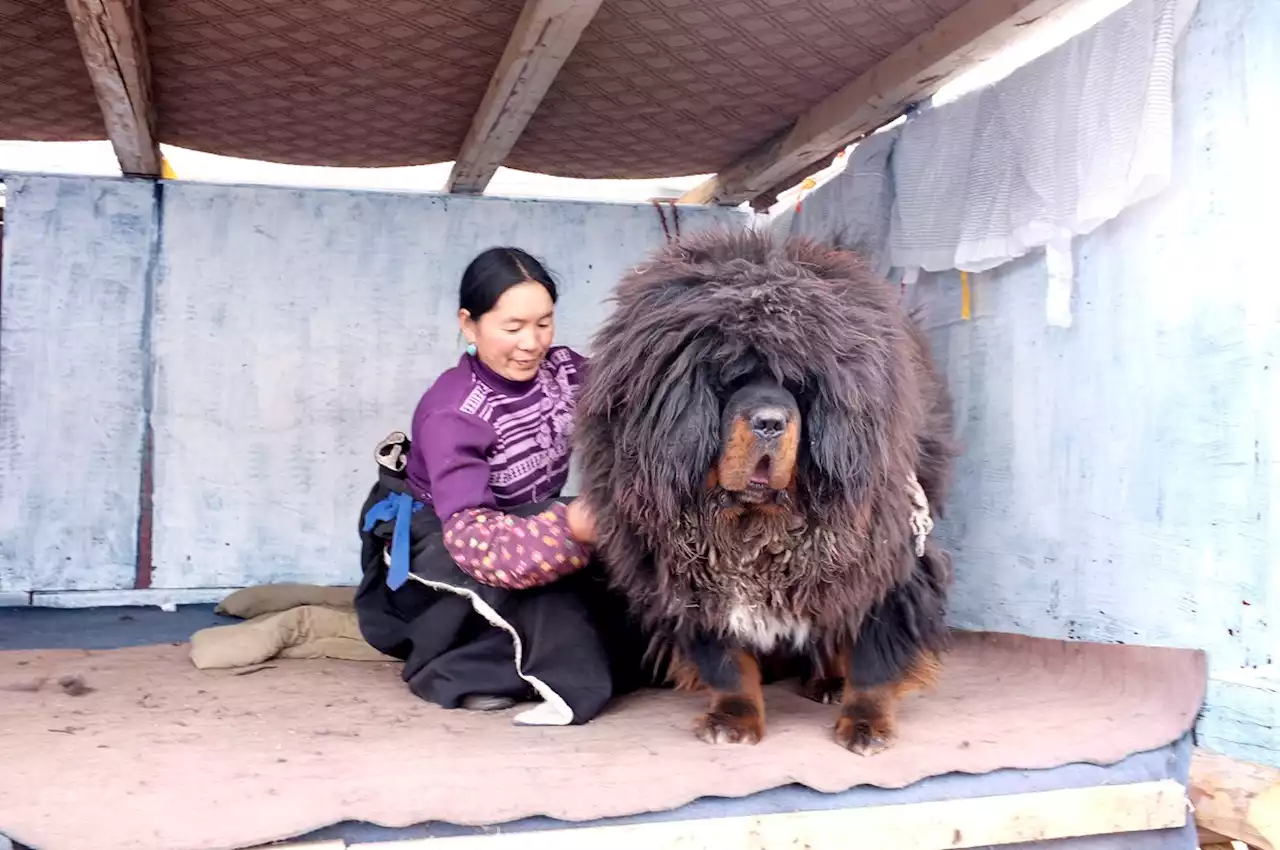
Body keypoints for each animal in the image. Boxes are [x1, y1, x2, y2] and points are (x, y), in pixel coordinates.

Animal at [576, 229, 957, 752]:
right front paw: (732, 719)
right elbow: (727, 664)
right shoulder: (690, 578)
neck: (754, 525)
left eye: (799, 386)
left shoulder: (885, 564)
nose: (771, 422)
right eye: (727, 380)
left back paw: (827, 682)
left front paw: (865, 723)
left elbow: (873, 658)